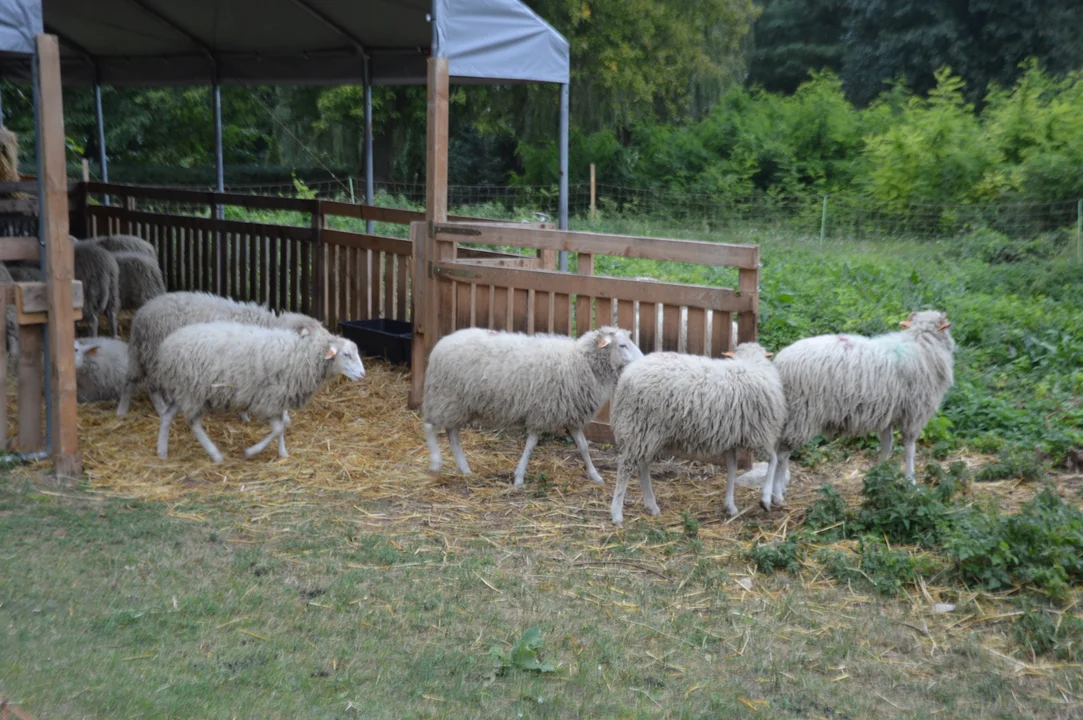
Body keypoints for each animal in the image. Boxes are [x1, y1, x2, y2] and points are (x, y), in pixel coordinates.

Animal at [118, 290, 322, 415]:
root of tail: (140, 316)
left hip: (142, 356)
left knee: (130, 380)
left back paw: (122, 410)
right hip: (155, 355)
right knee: (153, 386)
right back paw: (161, 408)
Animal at [153, 320, 363, 461]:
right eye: (346, 354)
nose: (363, 374)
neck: (303, 356)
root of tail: (166, 345)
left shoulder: (279, 399)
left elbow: (282, 428)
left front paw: (282, 453)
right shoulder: (270, 399)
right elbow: (278, 429)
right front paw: (251, 452)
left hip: (182, 390)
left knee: (167, 415)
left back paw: (162, 451)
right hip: (192, 391)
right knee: (194, 423)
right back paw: (215, 454)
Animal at [422, 326, 641, 489]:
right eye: (622, 345)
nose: (642, 360)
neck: (580, 362)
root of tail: (442, 343)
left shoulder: (572, 414)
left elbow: (584, 447)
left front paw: (595, 475)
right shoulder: (542, 412)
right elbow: (531, 445)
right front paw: (519, 477)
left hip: (459, 405)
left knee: (452, 433)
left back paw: (464, 468)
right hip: (445, 398)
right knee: (430, 427)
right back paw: (436, 463)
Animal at [610, 342, 788, 521]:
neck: (752, 363)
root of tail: (627, 377)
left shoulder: (732, 438)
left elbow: (732, 470)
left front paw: (730, 506)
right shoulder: (759, 433)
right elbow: (773, 459)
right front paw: (765, 500)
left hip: (646, 433)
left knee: (643, 465)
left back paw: (651, 506)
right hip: (640, 427)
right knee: (625, 468)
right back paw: (617, 514)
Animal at [771, 309, 957, 504]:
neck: (923, 342)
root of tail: (780, 364)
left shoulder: (888, 415)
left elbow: (886, 446)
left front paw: (882, 474)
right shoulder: (914, 414)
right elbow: (910, 449)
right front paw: (911, 481)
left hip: (787, 415)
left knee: (777, 452)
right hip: (802, 414)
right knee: (783, 455)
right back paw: (777, 495)